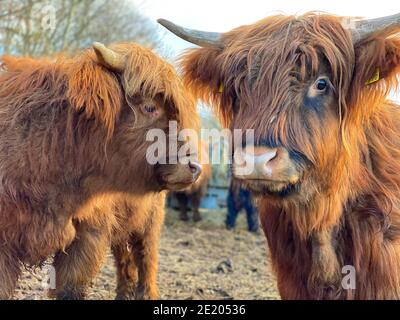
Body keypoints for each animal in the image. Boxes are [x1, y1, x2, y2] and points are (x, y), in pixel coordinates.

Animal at [0, 41, 200, 298]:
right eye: (149, 107)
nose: (194, 167)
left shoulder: (88, 235)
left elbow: (70, 289)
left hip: (149, 222)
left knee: (147, 258)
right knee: (126, 261)